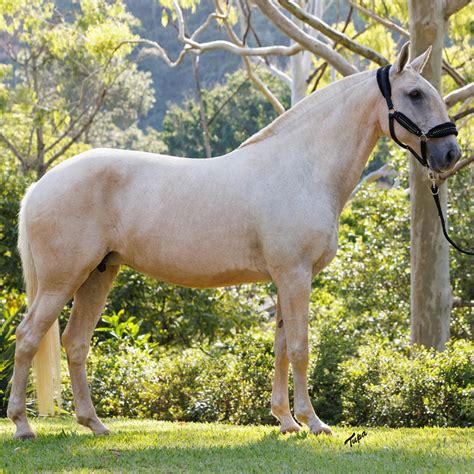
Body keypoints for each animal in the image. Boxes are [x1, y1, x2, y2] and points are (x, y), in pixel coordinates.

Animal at [7, 42, 460, 438]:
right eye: (415, 93)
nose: (451, 155)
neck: (303, 168)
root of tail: (39, 187)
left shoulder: (285, 280)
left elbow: (281, 347)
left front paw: (286, 421)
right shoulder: (295, 276)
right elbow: (300, 347)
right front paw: (313, 422)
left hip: (97, 275)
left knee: (75, 343)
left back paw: (95, 424)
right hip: (61, 280)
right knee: (28, 338)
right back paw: (23, 426)